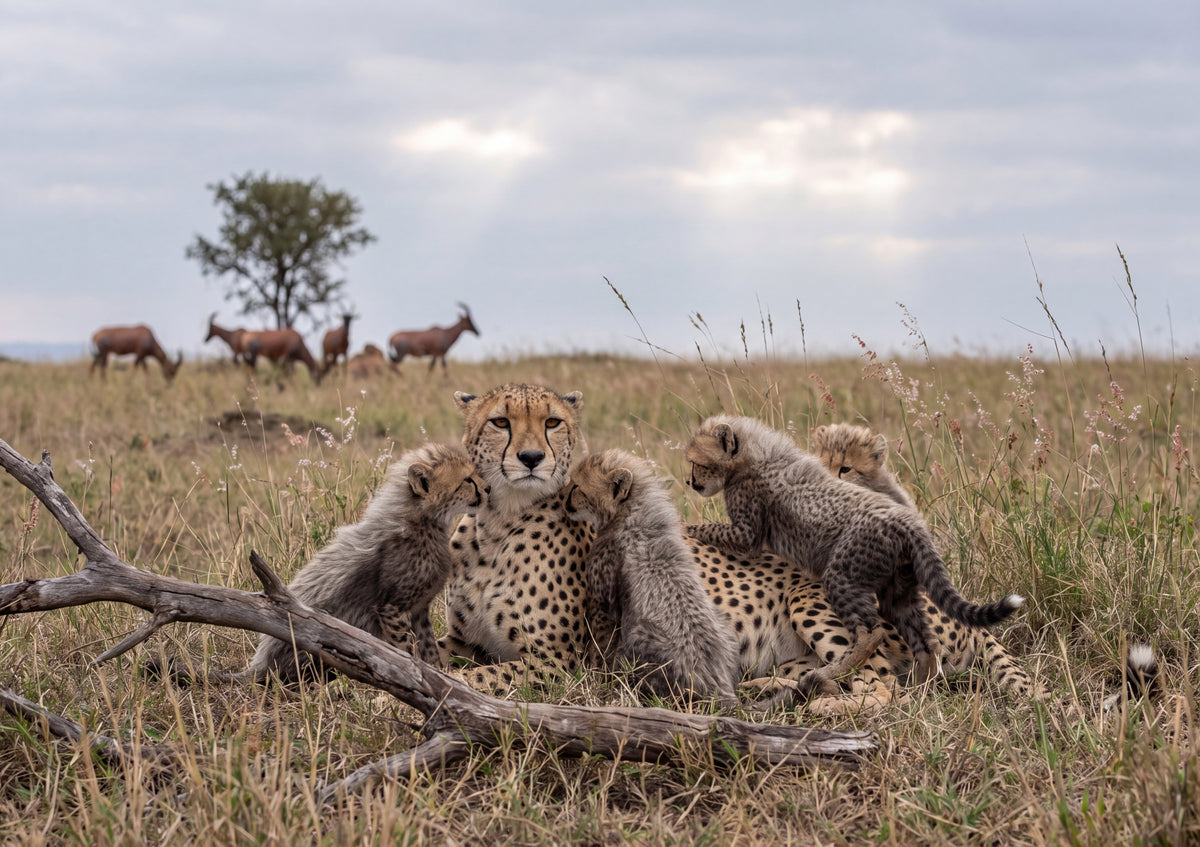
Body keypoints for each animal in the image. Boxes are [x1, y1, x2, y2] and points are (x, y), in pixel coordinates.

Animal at [685, 414, 1024, 683]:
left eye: (695, 462)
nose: (689, 482)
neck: (752, 454)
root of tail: (910, 526)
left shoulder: (747, 527)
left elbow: (715, 529)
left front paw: (684, 528)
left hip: (834, 580)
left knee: (878, 667)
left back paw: (830, 677)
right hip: (898, 590)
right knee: (921, 644)